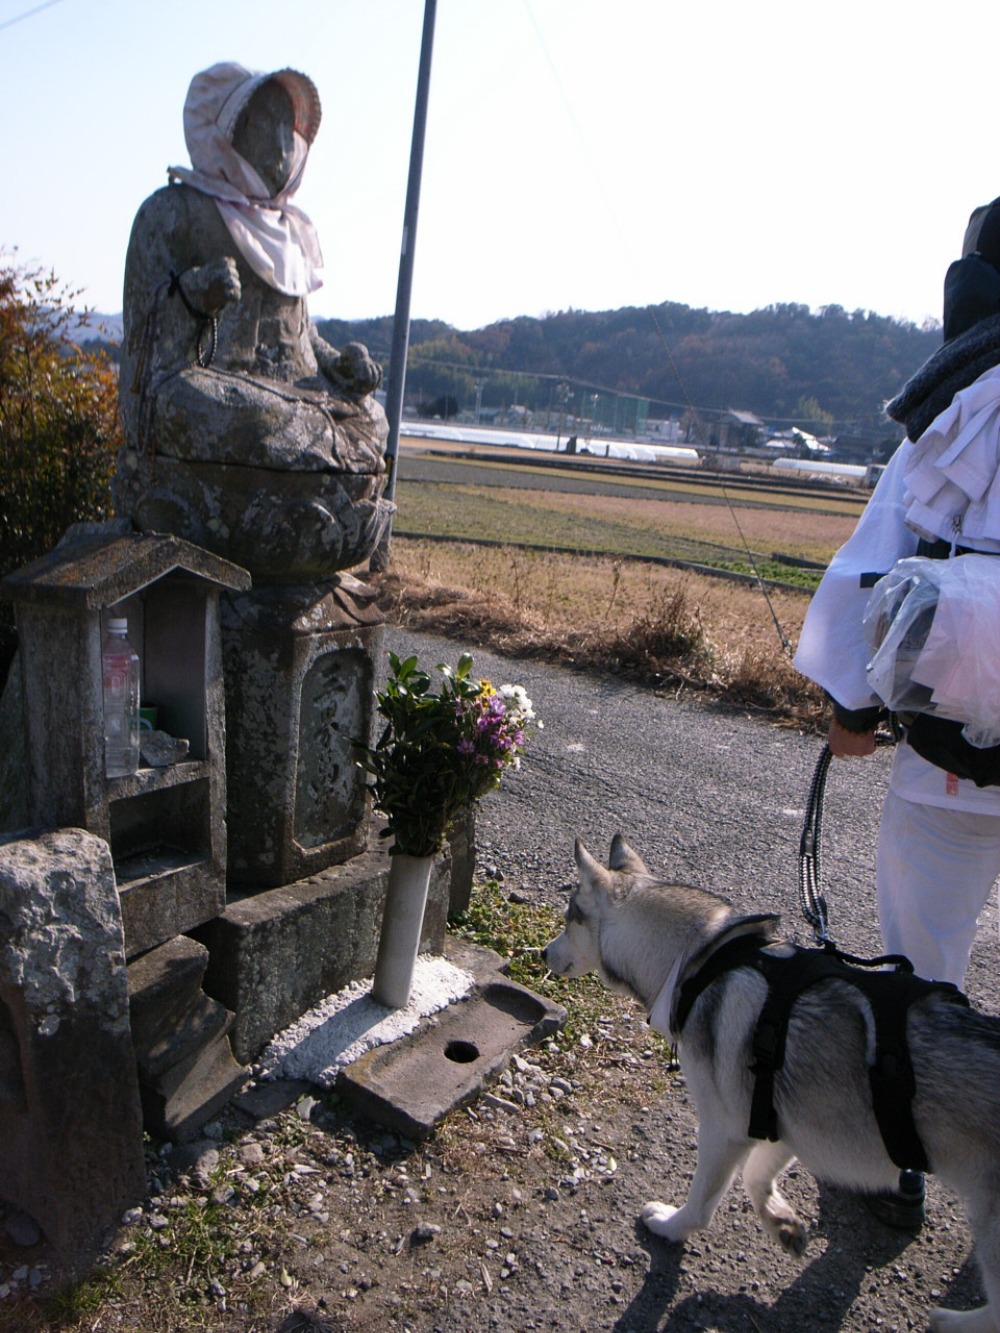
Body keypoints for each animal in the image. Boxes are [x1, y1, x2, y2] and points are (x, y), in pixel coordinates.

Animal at [544, 837, 1000, 1327]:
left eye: (569, 917)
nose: (541, 955)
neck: (695, 958)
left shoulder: (724, 1128)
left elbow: (704, 1199)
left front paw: (672, 1226)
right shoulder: (781, 1118)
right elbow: (755, 1175)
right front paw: (781, 1221)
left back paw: (950, 1322)